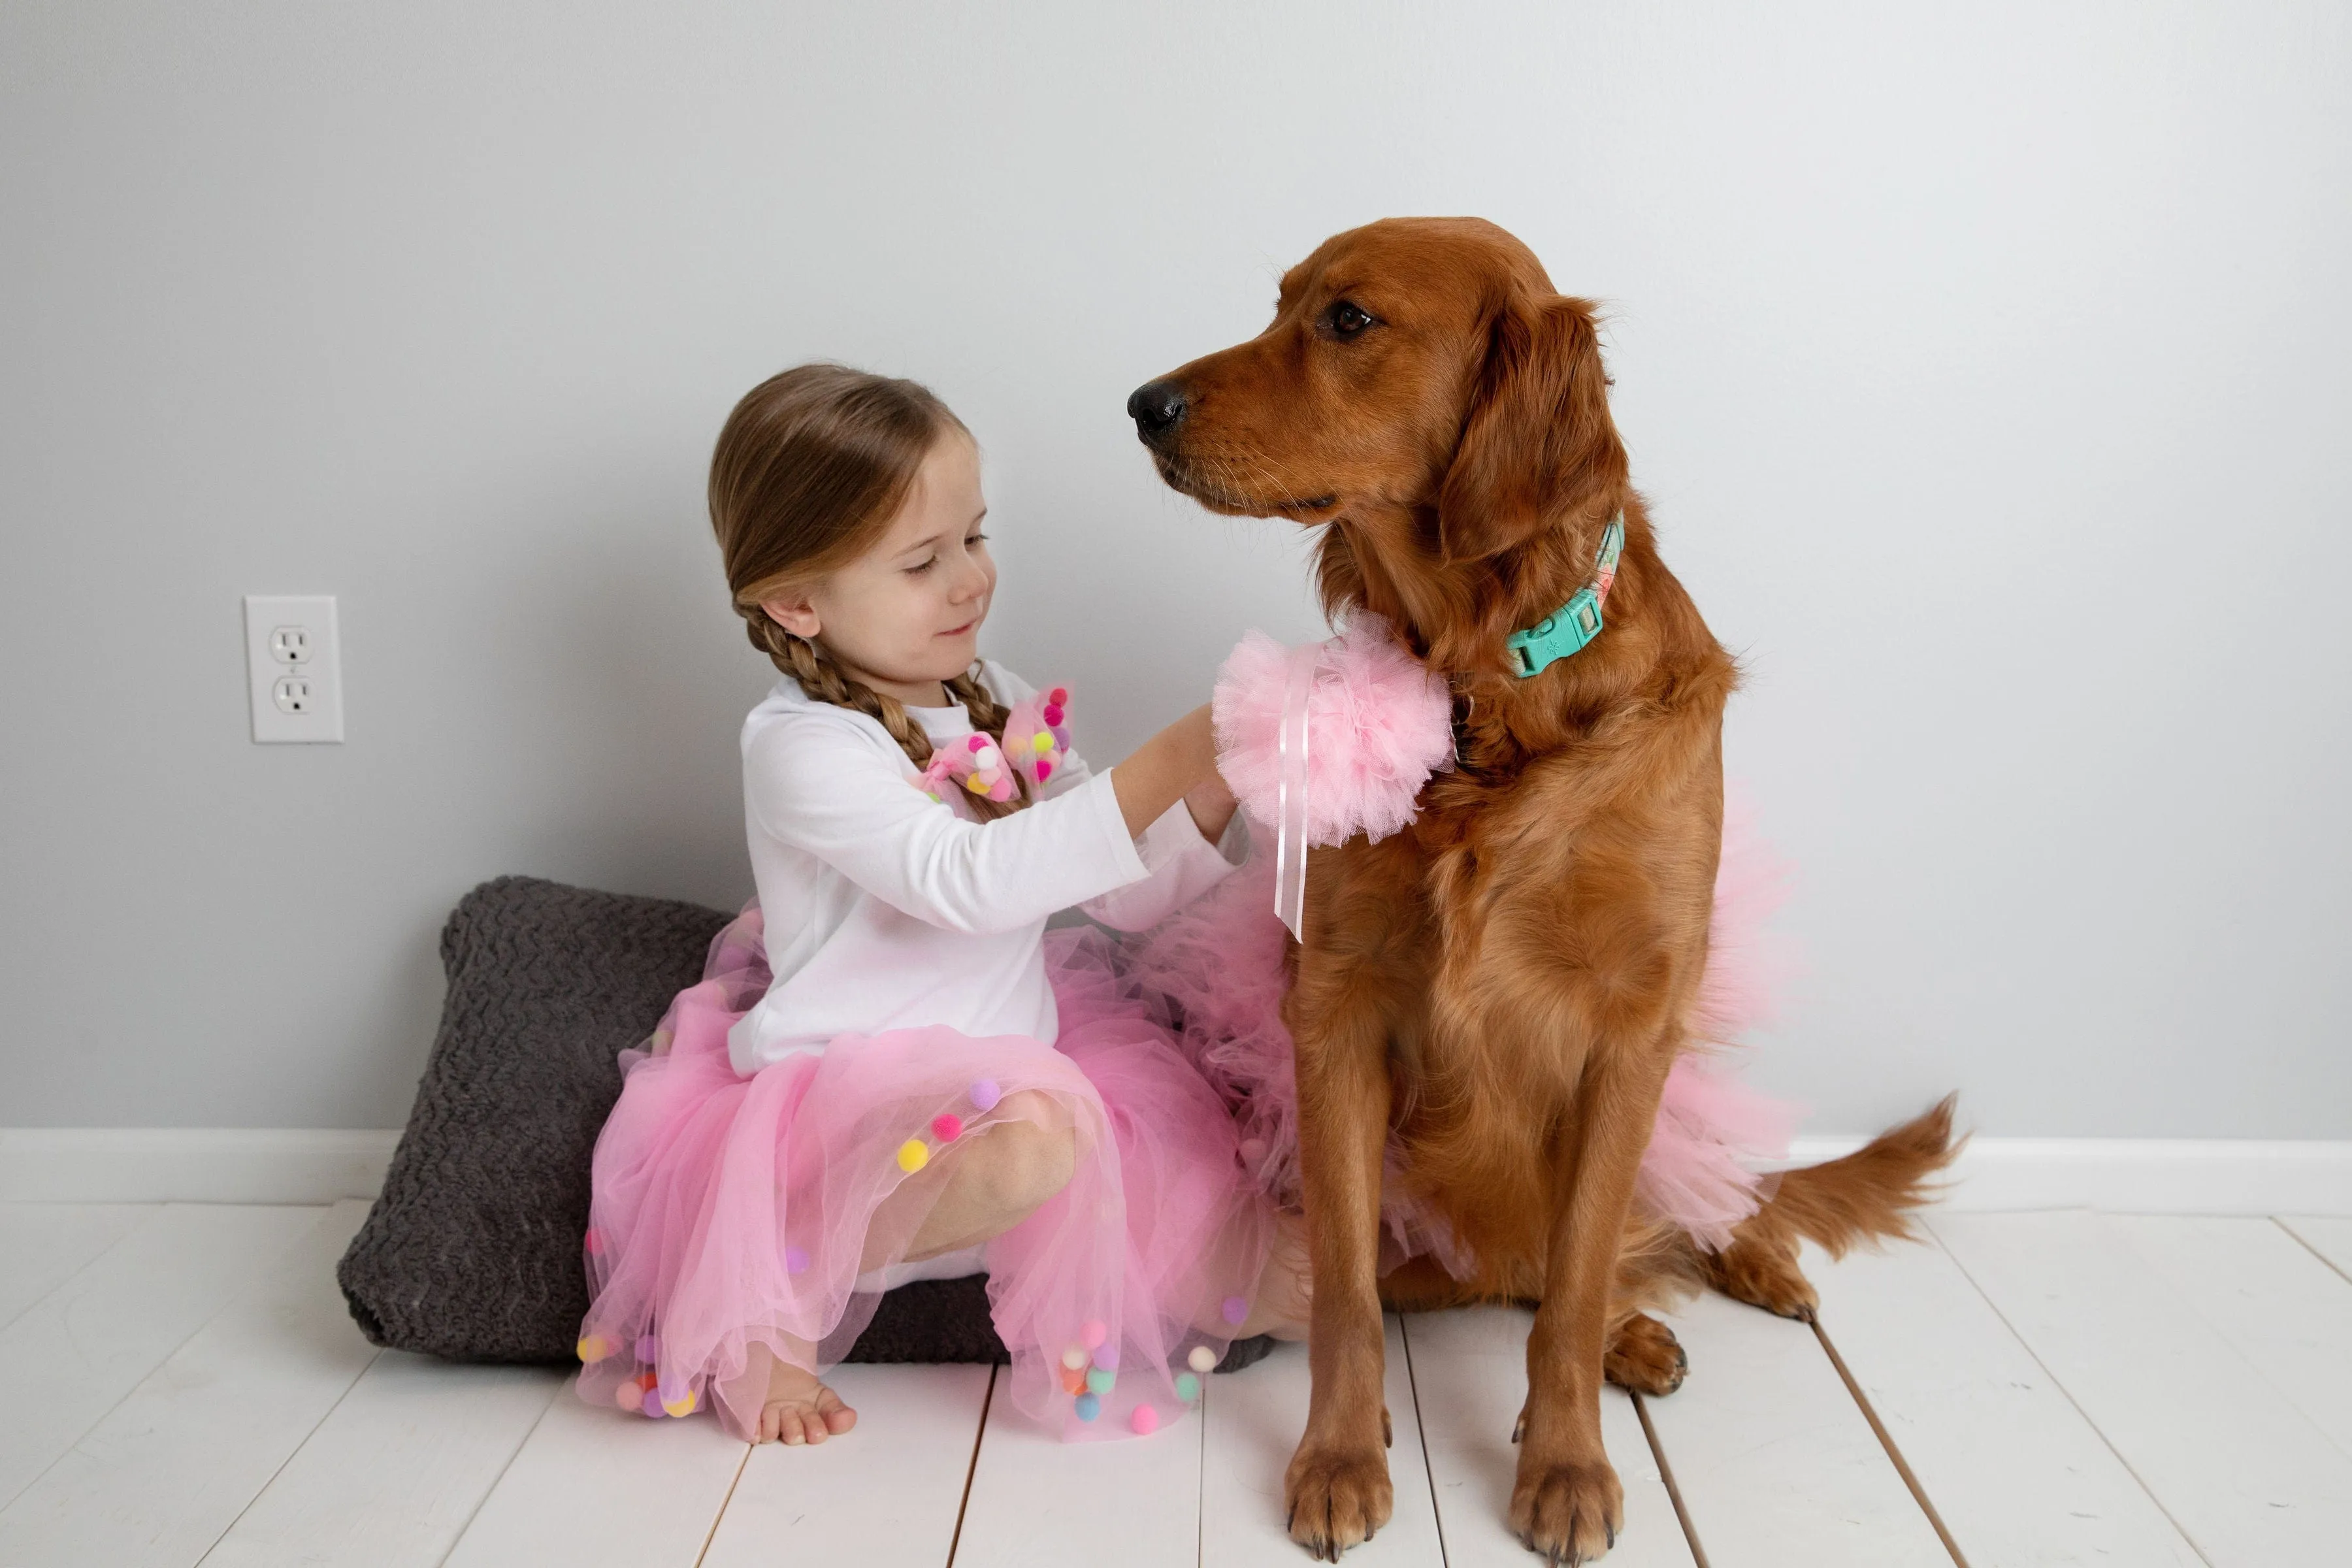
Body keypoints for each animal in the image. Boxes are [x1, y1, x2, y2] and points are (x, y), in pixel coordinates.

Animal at [1129, 217, 1957, 1561]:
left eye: (1348, 320)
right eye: (1278, 304)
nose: (1143, 405)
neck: (1485, 690)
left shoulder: (1633, 1026)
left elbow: (1572, 1289)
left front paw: (1566, 1465)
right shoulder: (1336, 1009)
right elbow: (1349, 1289)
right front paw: (1340, 1457)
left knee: (1669, 1222)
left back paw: (1734, 1276)